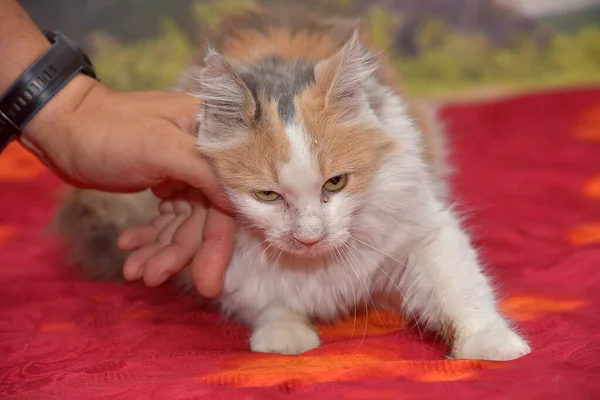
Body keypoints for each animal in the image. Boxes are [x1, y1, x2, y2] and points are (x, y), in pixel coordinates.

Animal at [51, 8, 528, 360]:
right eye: (267, 194)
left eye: (335, 183)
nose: (310, 237)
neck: (314, 266)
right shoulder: (234, 269)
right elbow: (268, 300)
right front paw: (284, 334)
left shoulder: (423, 232)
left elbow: (460, 287)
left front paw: (491, 345)